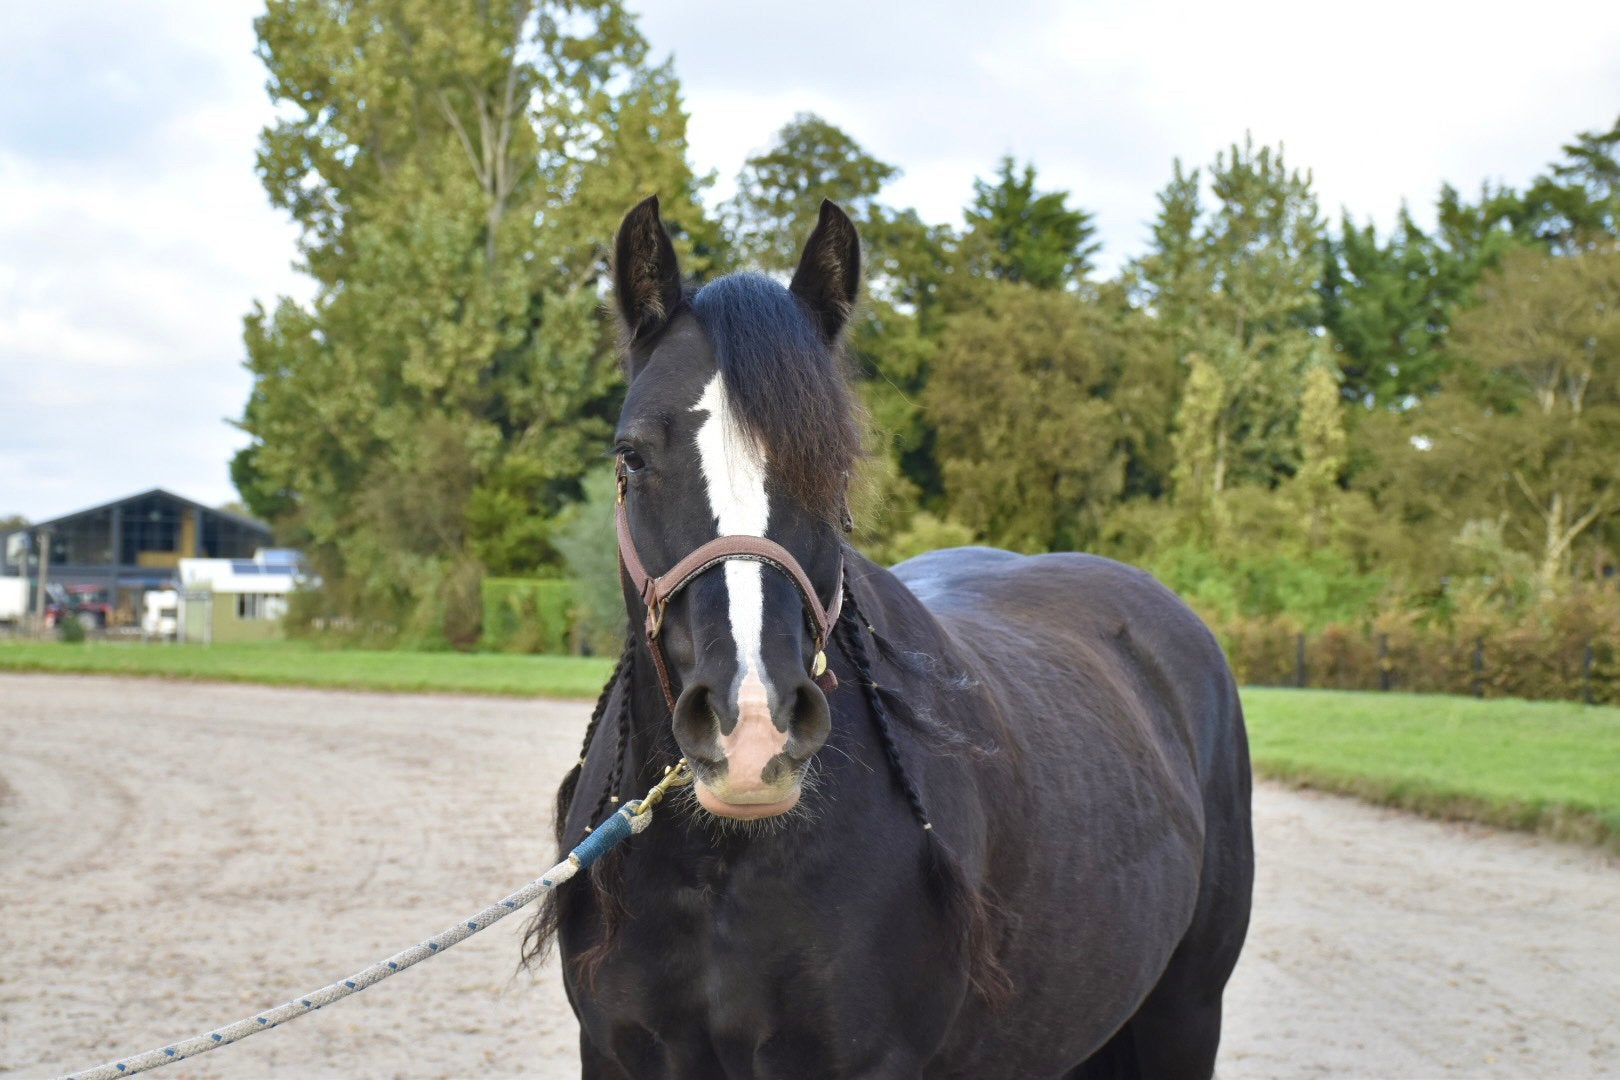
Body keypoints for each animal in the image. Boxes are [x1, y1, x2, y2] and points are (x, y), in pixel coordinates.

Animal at [526, 195, 1254, 1079]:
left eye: (835, 467)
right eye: (631, 459)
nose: (752, 730)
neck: (717, 868)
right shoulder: (615, 1054)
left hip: (1186, 1014)